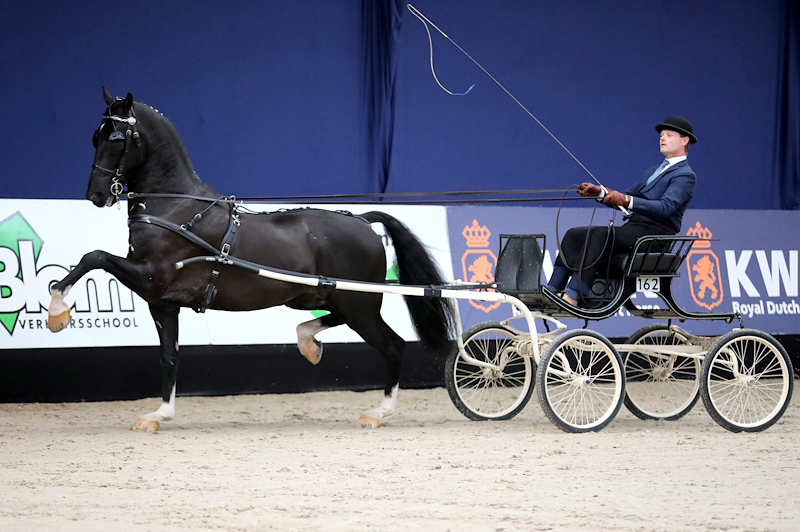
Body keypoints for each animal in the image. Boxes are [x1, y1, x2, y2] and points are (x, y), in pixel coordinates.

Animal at [47, 88, 456, 432]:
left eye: (116, 139)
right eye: (95, 136)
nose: (96, 195)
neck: (176, 207)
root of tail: (363, 220)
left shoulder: (151, 277)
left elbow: (93, 257)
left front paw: (57, 311)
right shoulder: (162, 302)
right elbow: (169, 357)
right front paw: (158, 415)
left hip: (358, 303)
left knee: (393, 346)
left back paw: (377, 412)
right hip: (325, 297)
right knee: (327, 323)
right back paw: (309, 344)